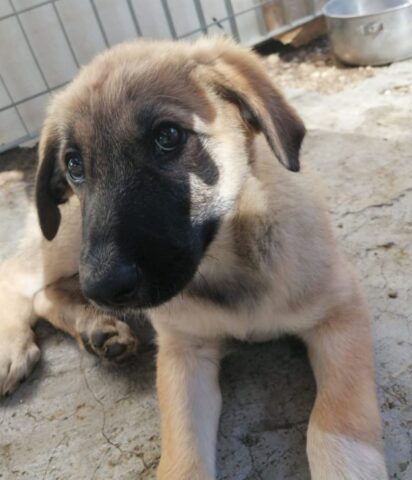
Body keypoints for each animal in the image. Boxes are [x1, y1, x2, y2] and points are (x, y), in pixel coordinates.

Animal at [0, 38, 388, 480]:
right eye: (74, 164)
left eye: (168, 135)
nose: (104, 288)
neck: (227, 261)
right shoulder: (183, 351)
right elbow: (184, 458)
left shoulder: (340, 311)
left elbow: (334, 423)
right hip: (70, 240)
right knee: (17, 276)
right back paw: (17, 346)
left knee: (46, 291)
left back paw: (96, 327)